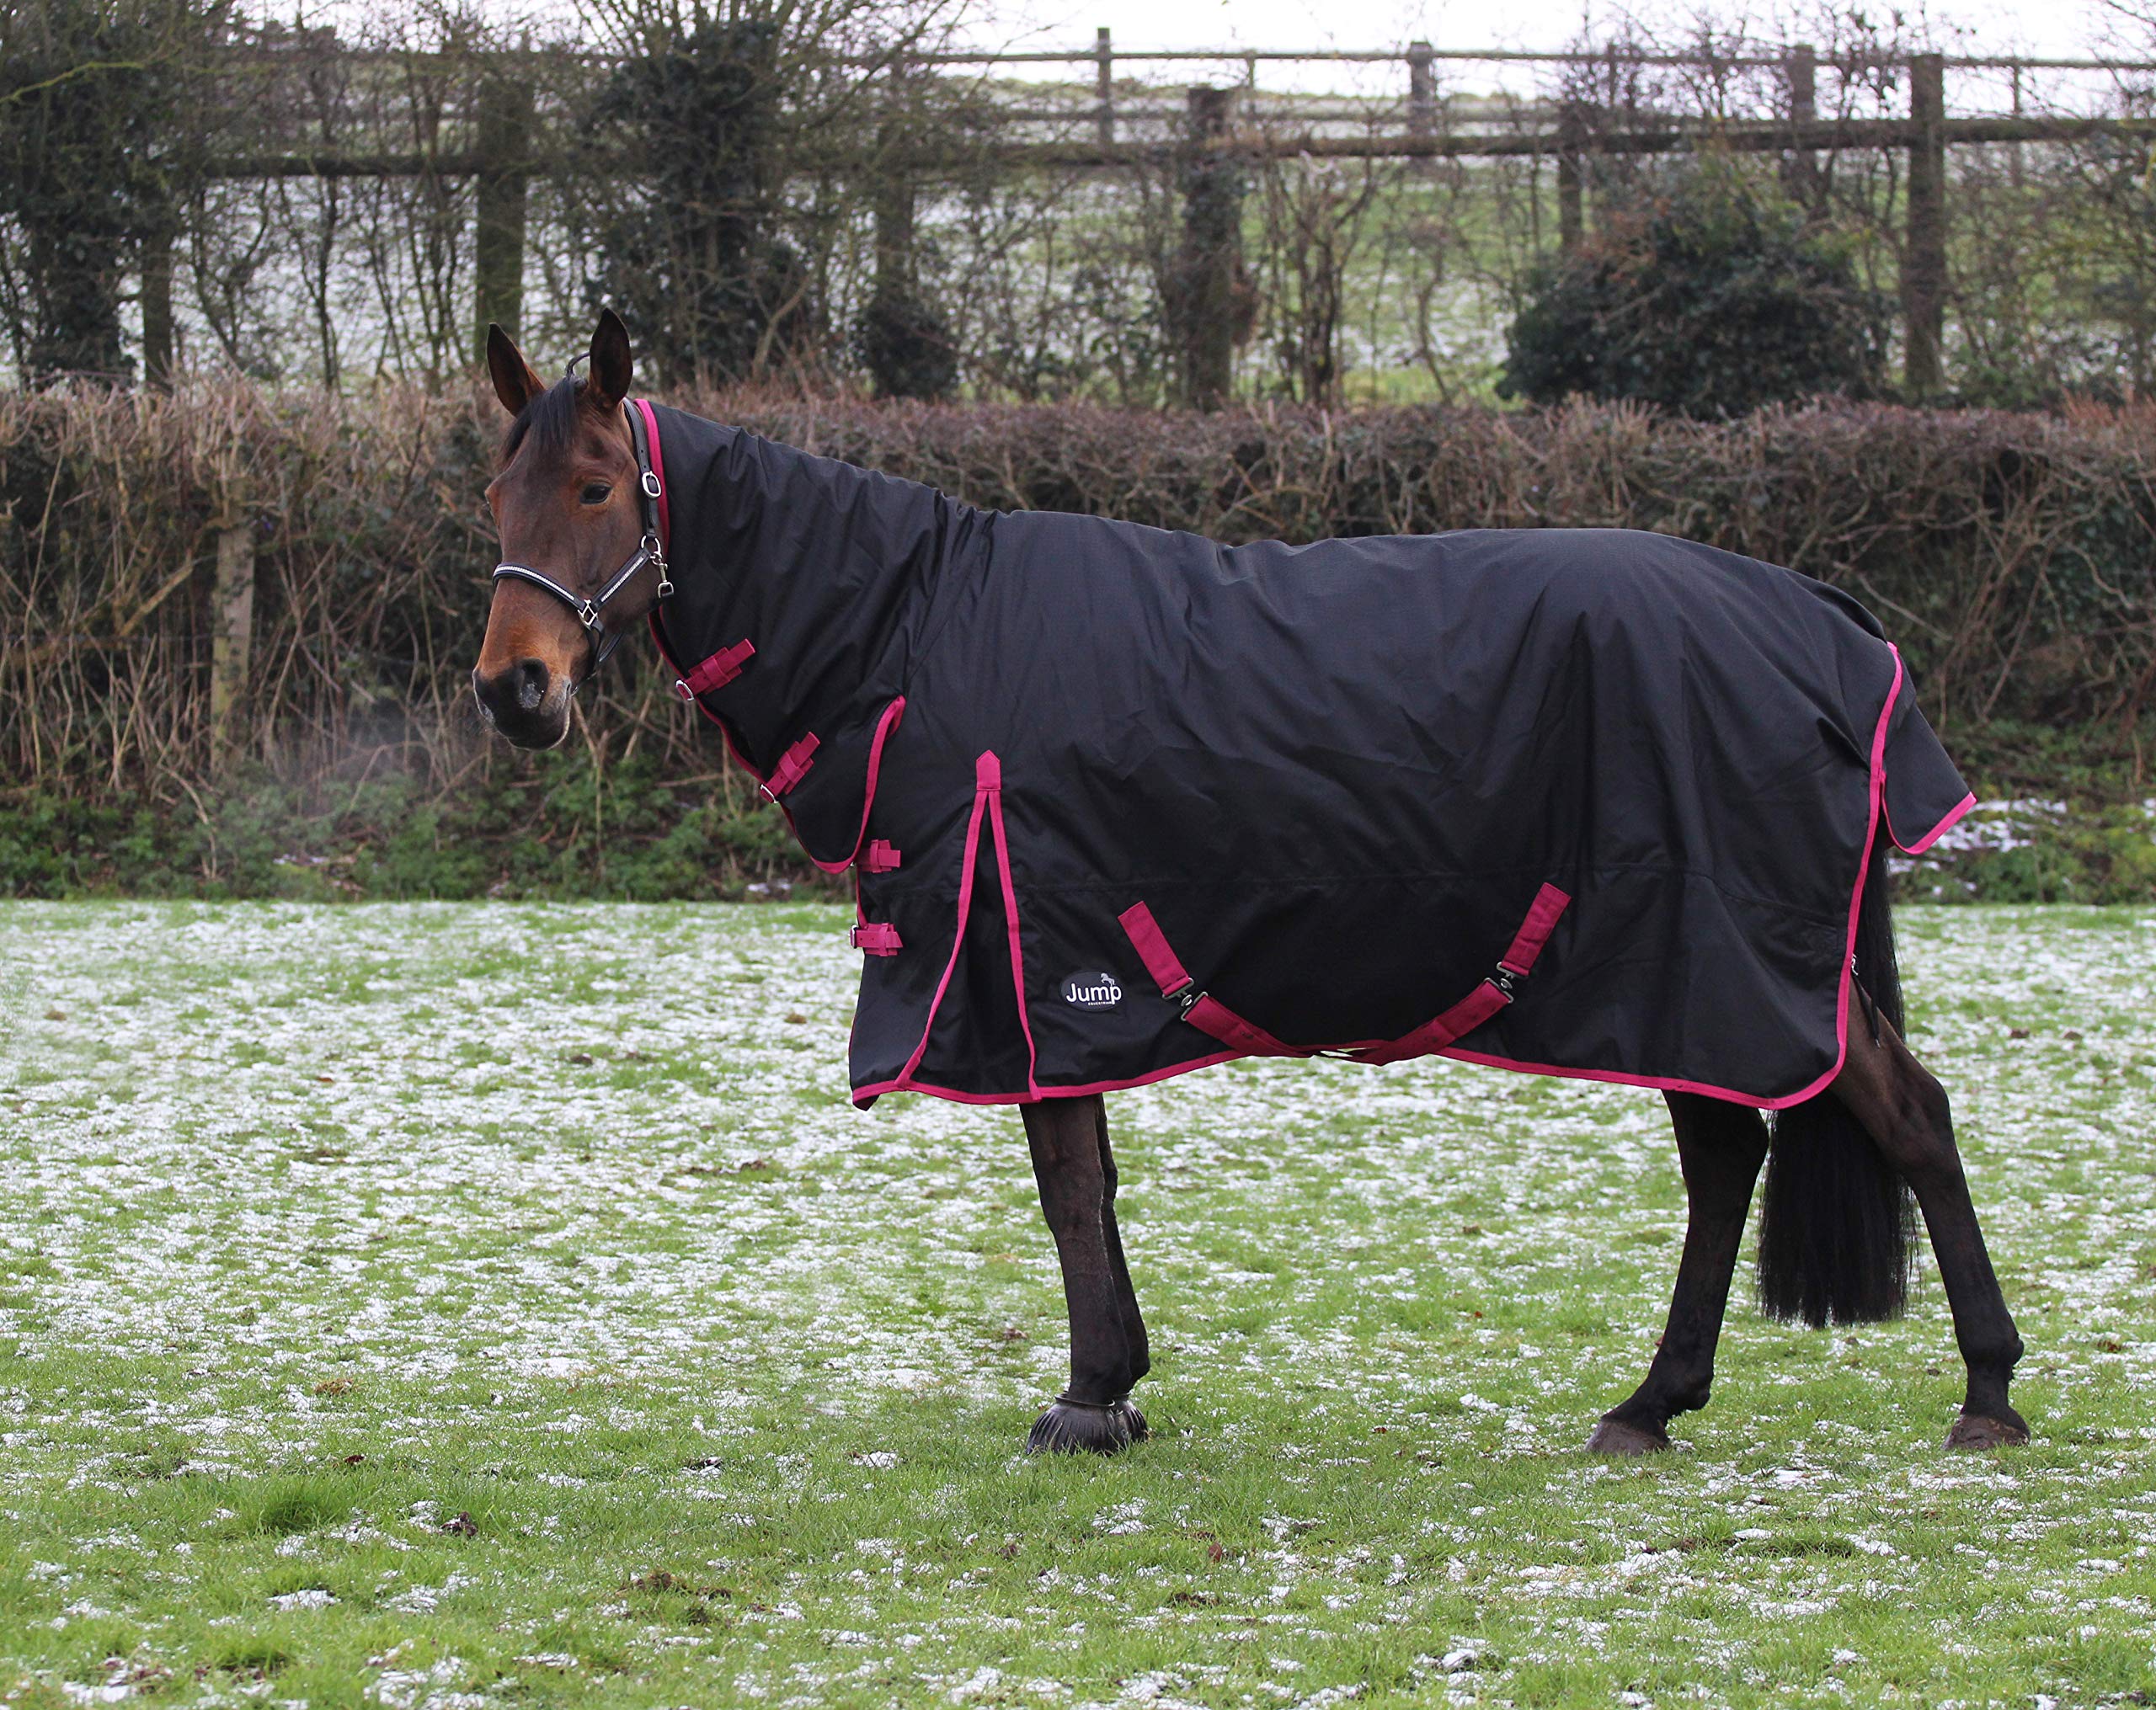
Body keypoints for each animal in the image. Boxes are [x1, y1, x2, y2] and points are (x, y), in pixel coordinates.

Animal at [470, 309, 2027, 1458]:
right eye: (496, 493)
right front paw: (1118, 1382)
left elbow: (1067, 1181)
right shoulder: (1058, 967)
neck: (915, 627)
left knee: (1896, 1117)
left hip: (1710, 955)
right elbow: (1088, 1173)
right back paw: (1655, 1406)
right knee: (1733, 1153)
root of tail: (1818, 611)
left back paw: (1983, 1394)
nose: (514, 691)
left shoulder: (1032, 951)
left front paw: (1088, 1397)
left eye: (596, 488)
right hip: (1679, 971)